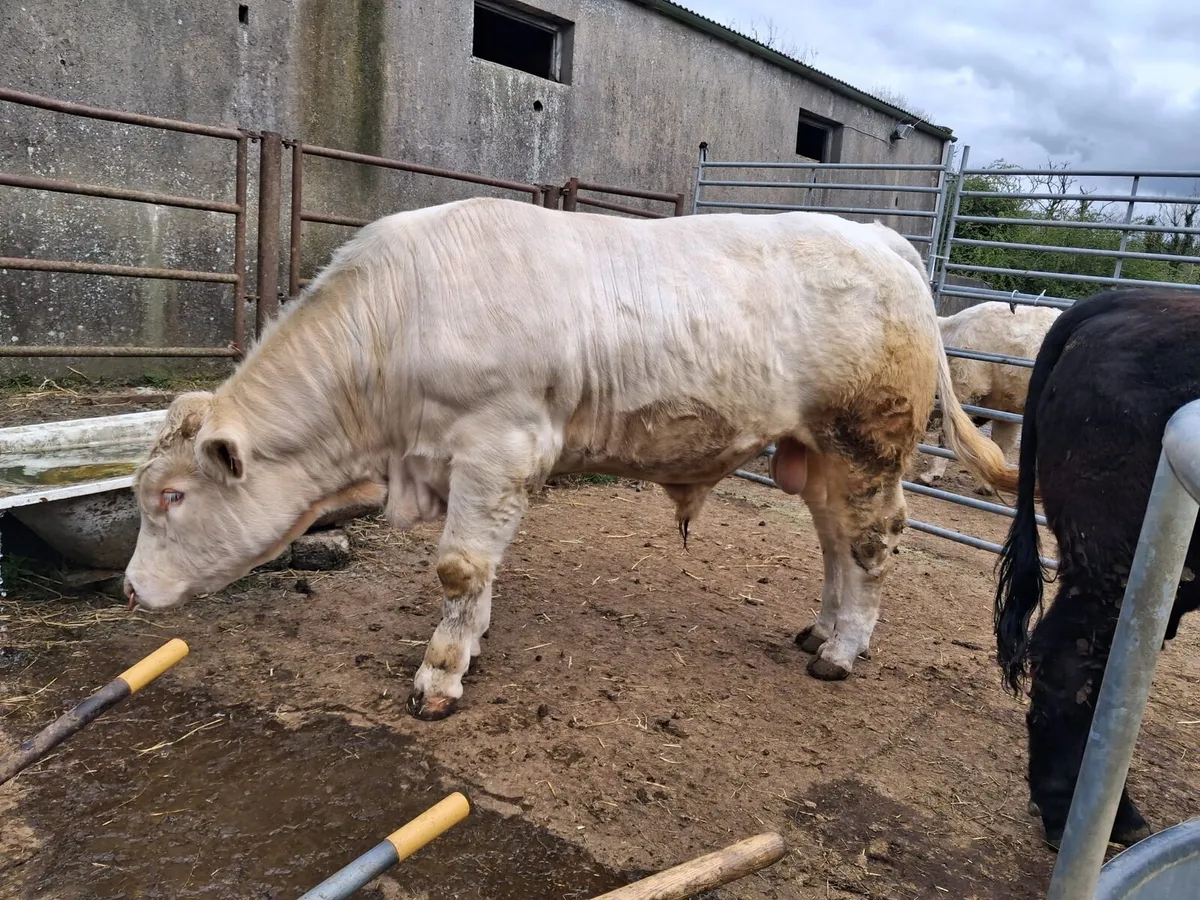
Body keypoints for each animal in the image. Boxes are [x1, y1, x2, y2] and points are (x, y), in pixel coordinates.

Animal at [122, 197, 1017, 721]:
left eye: (171, 497)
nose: (129, 589)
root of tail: (879, 240)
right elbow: (478, 569)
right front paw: (472, 637)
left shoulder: (501, 443)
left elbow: (459, 566)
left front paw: (441, 673)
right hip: (818, 454)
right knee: (835, 542)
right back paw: (821, 628)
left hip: (864, 443)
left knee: (869, 542)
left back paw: (841, 651)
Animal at [918, 301, 1061, 494]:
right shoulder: (1008, 407)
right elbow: (1001, 442)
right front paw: (987, 487)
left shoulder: (968, 384)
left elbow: (953, 433)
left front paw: (928, 477)